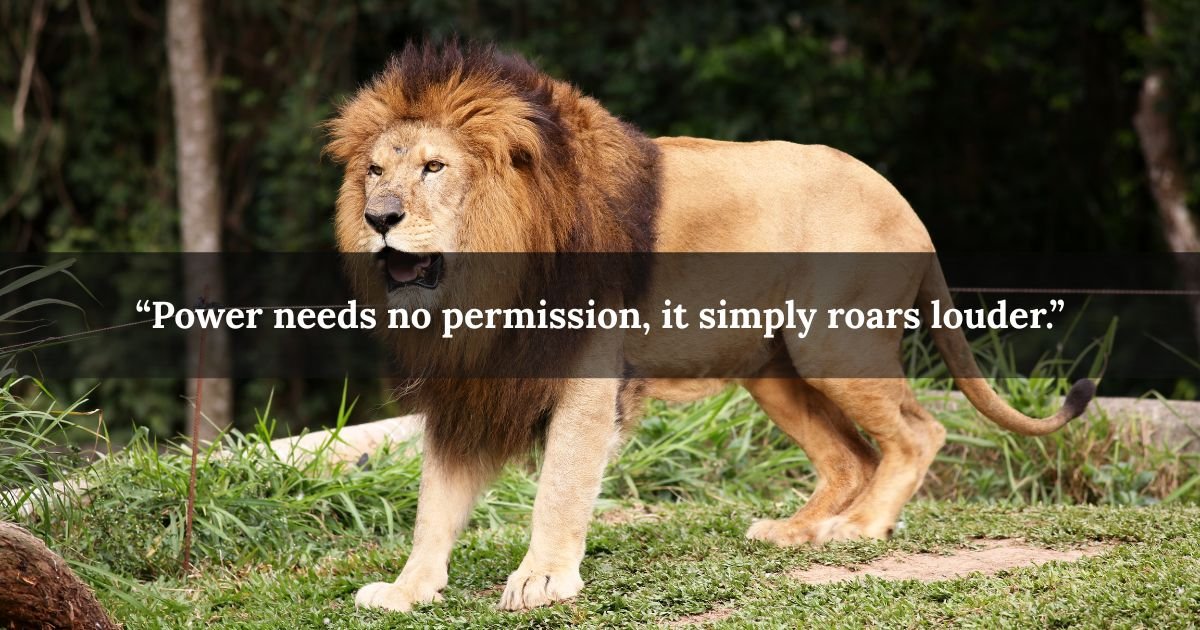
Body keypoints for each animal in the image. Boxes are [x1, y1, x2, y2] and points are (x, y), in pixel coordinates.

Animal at [325, 42, 1095, 613]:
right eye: (374, 171)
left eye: (434, 167)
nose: (379, 217)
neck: (487, 273)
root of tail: (906, 206)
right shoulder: (471, 386)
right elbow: (436, 501)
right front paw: (406, 591)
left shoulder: (585, 373)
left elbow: (561, 485)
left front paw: (542, 578)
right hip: (773, 369)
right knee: (851, 456)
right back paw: (794, 532)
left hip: (830, 341)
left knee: (917, 433)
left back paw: (857, 529)